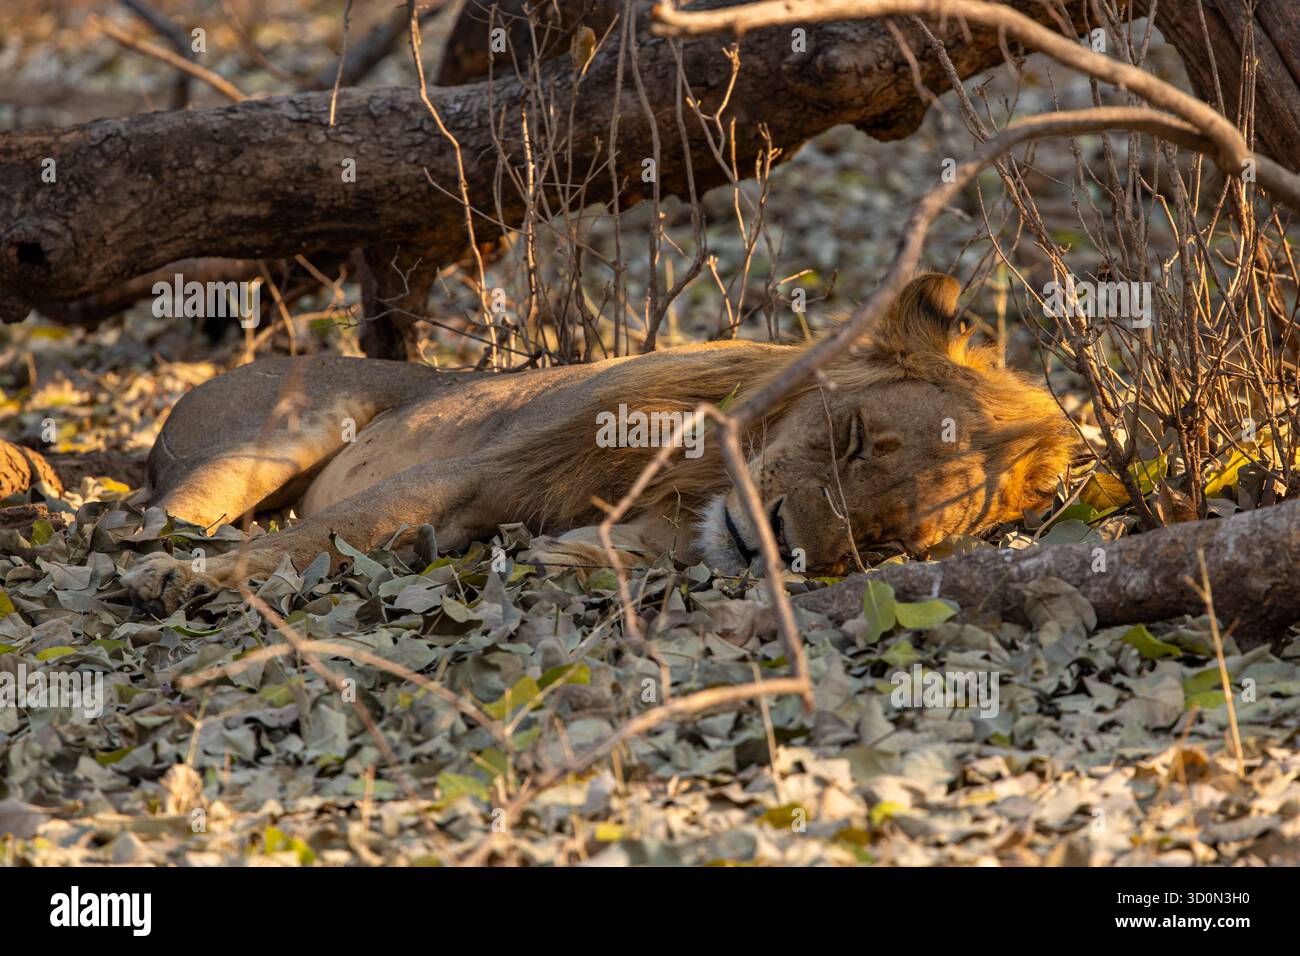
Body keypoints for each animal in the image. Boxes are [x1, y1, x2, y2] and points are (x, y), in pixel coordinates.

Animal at [121, 274, 1075, 615]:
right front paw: (186, 581)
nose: (779, 542)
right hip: (262, 445)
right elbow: (323, 533)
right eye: (851, 440)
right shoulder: (475, 470)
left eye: (881, 542)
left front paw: (575, 555)